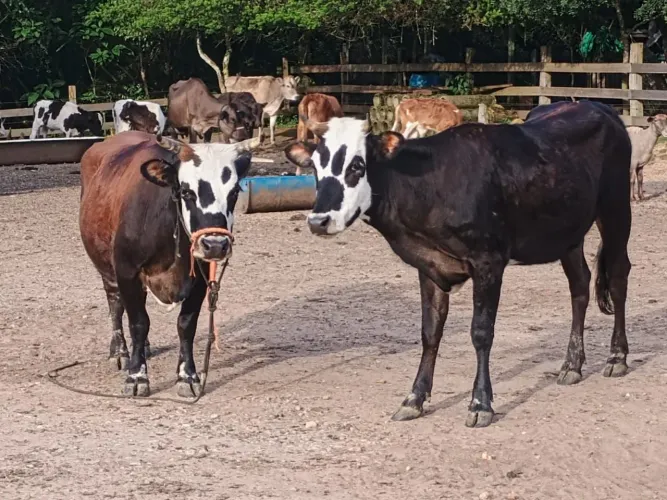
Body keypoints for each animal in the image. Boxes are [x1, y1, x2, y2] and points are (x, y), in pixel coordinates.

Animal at [79, 131, 258, 397]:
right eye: (186, 192)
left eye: (234, 192)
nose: (215, 245)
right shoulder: (126, 271)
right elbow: (138, 322)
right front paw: (136, 376)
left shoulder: (200, 278)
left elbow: (186, 324)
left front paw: (187, 375)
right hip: (107, 269)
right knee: (116, 305)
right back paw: (120, 351)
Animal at [285, 101, 632, 428]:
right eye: (315, 168)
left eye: (357, 166)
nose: (318, 221)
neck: (433, 185)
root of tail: (595, 105)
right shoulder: (429, 266)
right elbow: (430, 331)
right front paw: (414, 398)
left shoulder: (488, 261)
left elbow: (481, 332)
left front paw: (480, 404)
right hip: (567, 232)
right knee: (580, 285)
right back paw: (572, 364)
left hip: (615, 209)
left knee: (617, 277)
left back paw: (617, 357)